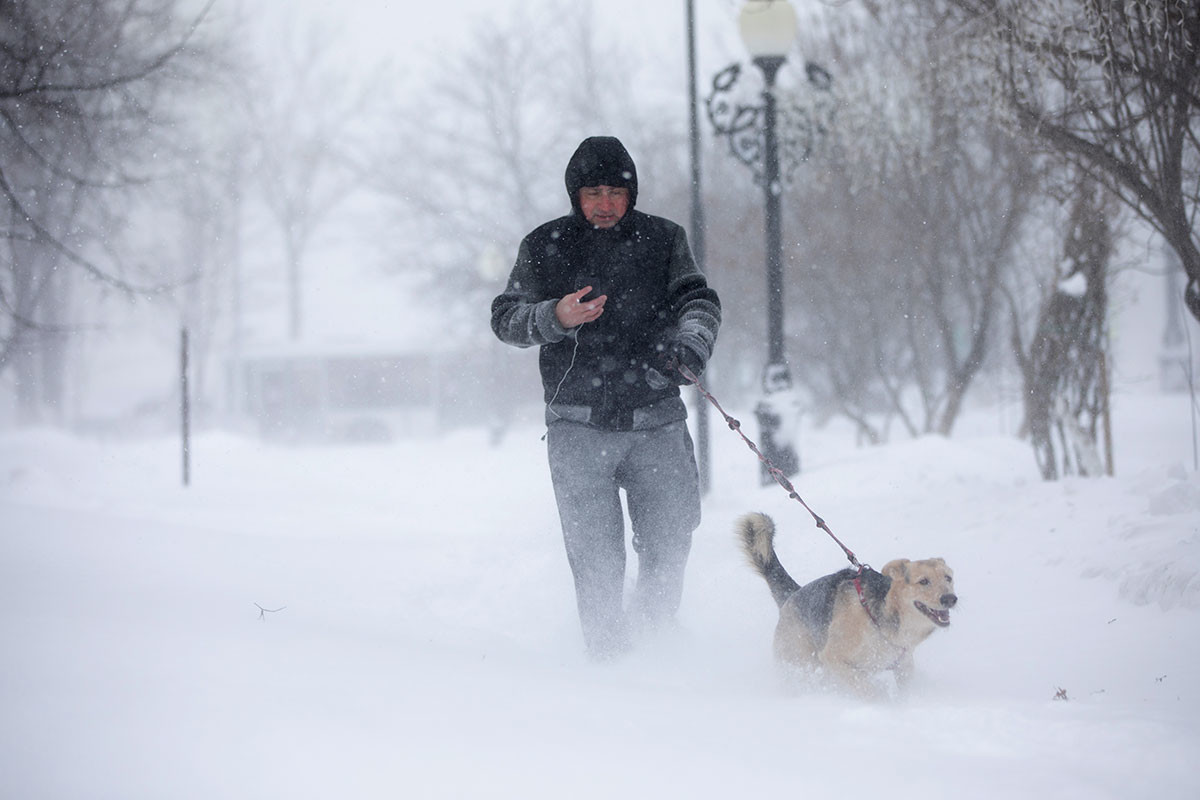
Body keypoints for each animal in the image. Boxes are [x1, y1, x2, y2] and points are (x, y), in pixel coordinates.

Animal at [729, 510, 955, 695]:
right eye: (923, 581)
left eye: (948, 578)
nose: (950, 599)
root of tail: (793, 594)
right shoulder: (834, 658)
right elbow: (869, 689)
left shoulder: (903, 667)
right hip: (800, 662)